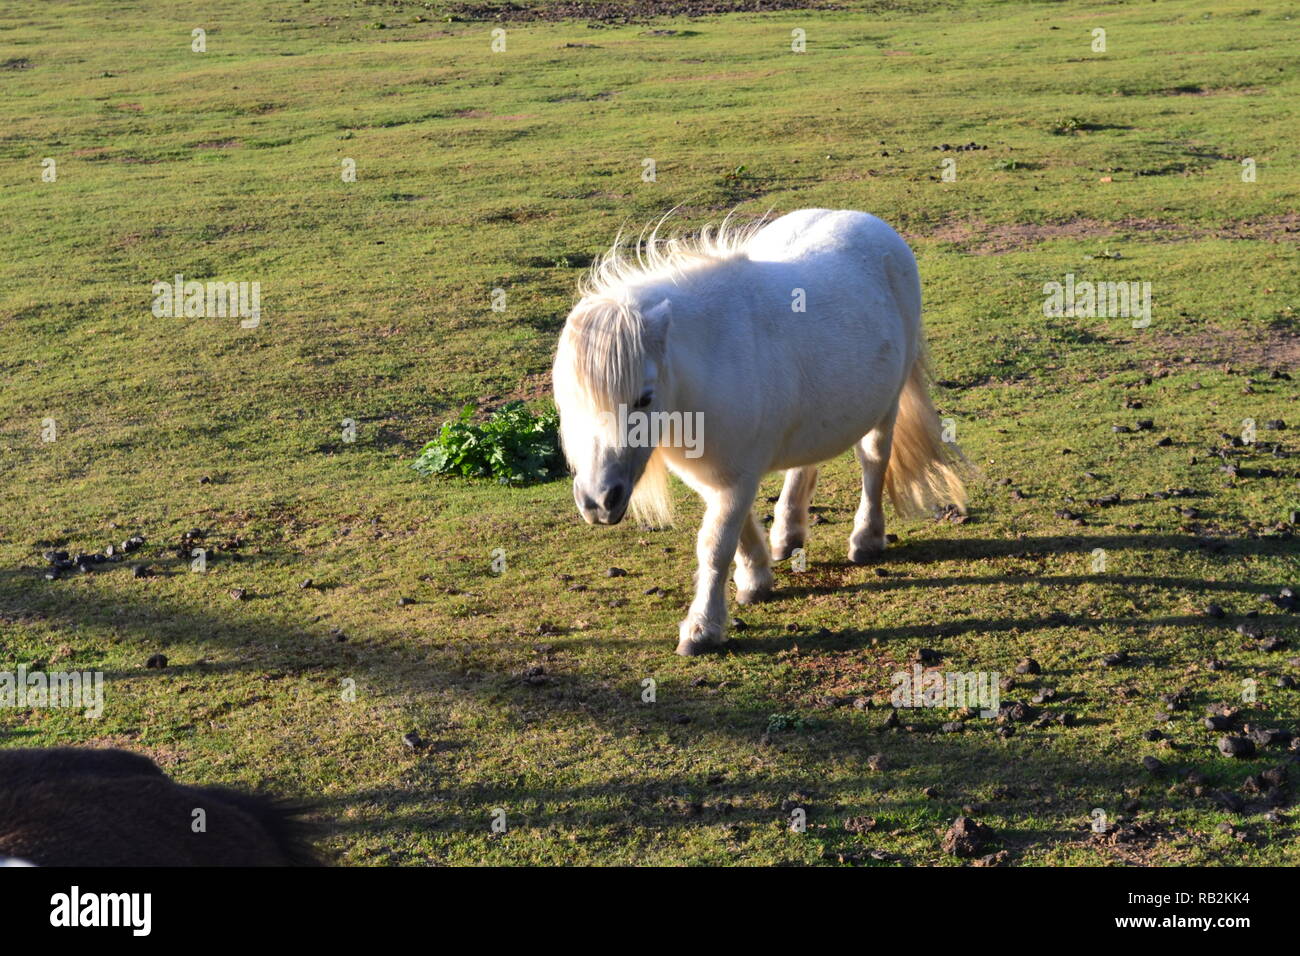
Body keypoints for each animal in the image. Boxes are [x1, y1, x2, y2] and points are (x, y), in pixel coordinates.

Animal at [551, 208, 966, 656]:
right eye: (570, 400)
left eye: (644, 398)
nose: (598, 501)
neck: (710, 362)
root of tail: (866, 220)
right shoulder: (717, 476)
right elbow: (740, 530)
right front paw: (755, 579)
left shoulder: (735, 476)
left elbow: (715, 546)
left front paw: (702, 628)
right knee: (805, 465)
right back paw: (788, 535)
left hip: (885, 409)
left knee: (874, 464)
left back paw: (866, 540)